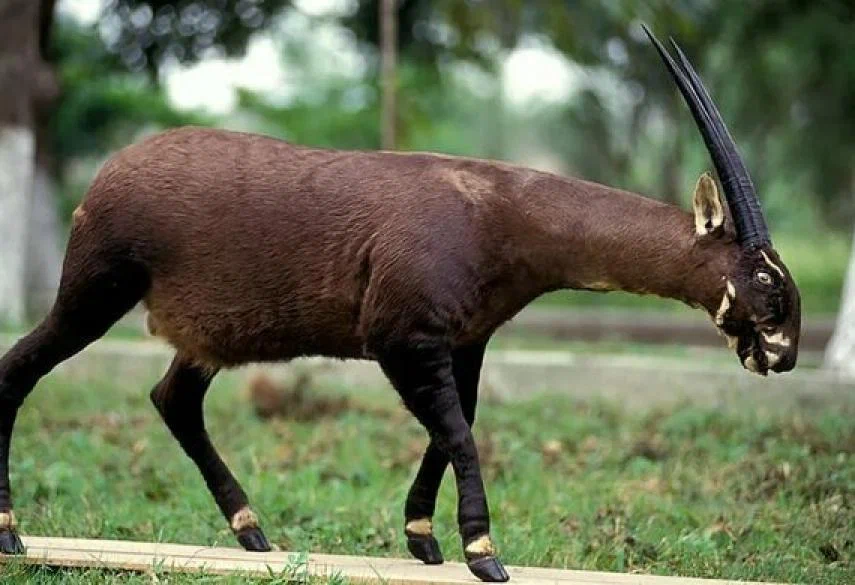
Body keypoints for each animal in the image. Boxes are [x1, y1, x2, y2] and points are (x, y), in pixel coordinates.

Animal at [0, 26, 800, 580]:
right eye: (766, 279)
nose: (784, 355)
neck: (497, 211)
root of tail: (104, 176)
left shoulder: (462, 340)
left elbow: (453, 428)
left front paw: (423, 537)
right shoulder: (402, 338)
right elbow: (461, 434)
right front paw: (482, 550)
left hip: (203, 335)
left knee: (173, 397)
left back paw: (252, 530)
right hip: (96, 289)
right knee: (20, 368)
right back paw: (12, 529)